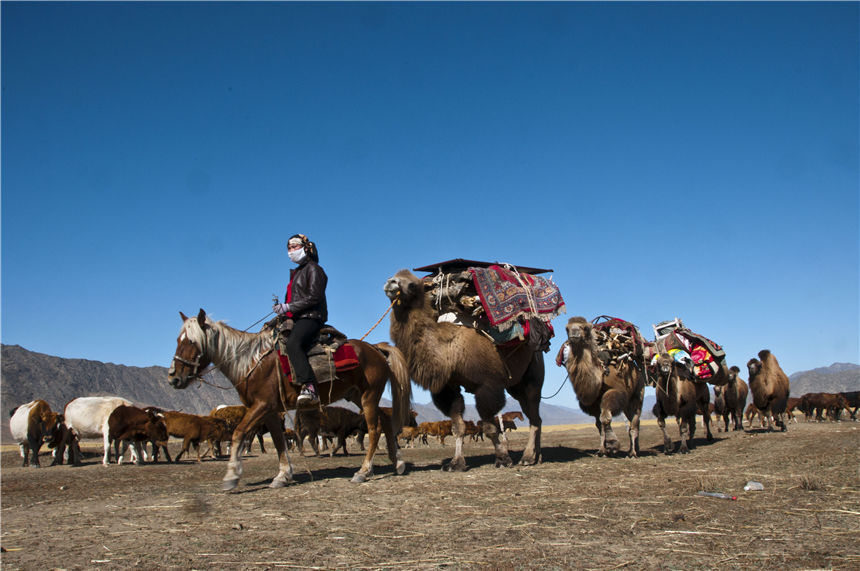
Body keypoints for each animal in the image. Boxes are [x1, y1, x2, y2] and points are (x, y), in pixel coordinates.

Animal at [170, 310, 412, 490]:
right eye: (177, 340)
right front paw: (283, 476)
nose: (174, 377)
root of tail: (375, 349)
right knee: (385, 421)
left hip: (368, 395)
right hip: (357, 396)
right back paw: (398, 463)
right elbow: (279, 441)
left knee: (374, 428)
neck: (252, 362)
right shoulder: (269, 411)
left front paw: (231, 477)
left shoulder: (261, 406)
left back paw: (363, 471)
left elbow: (239, 433)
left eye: (191, 342)